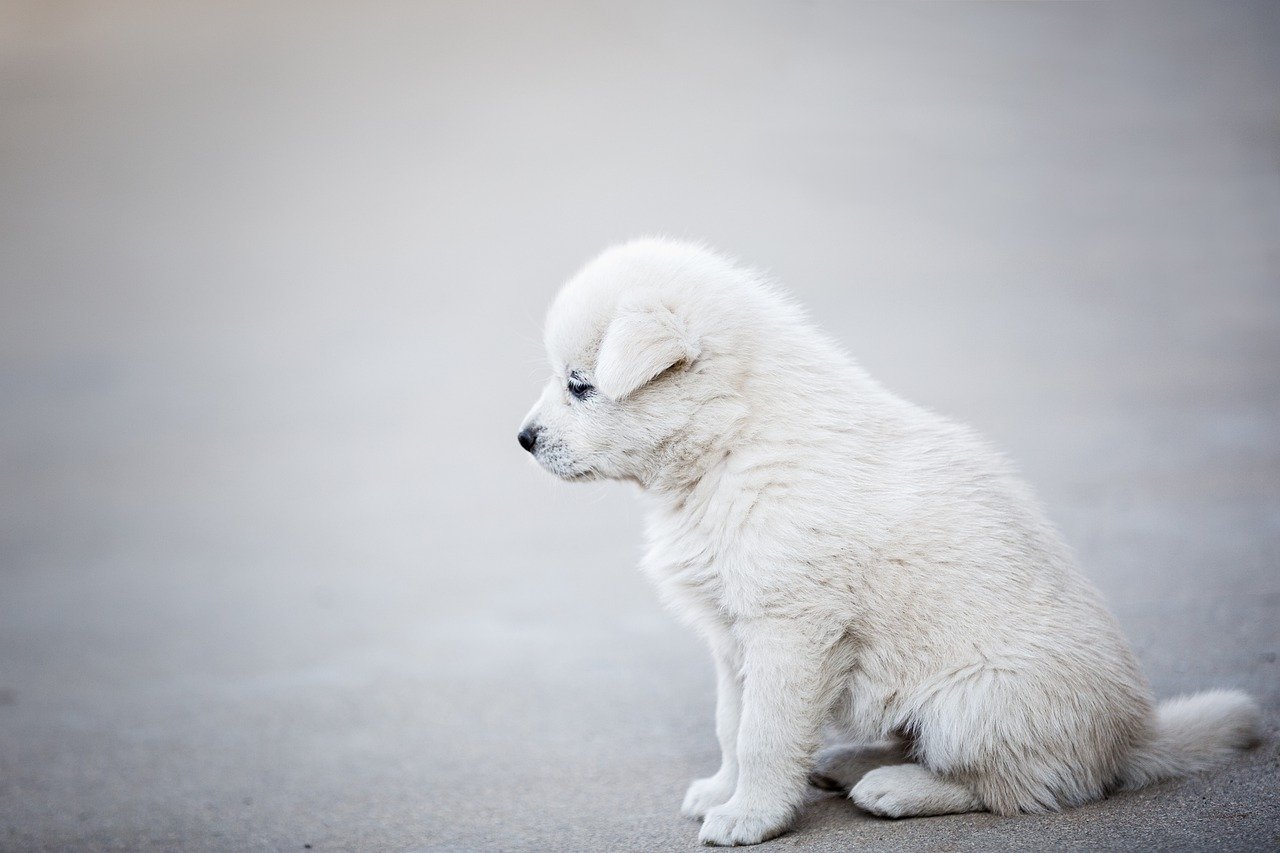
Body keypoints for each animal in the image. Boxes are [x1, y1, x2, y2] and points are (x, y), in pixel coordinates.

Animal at [514, 239, 1254, 845]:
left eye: (580, 385)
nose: (523, 438)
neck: (733, 441)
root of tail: (1131, 741)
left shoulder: (789, 628)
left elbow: (763, 733)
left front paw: (749, 816)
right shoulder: (733, 633)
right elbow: (731, 721)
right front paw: (722, 791)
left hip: (975, 701)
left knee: (1020, 787)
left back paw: (897, 788)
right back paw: (850, 762)